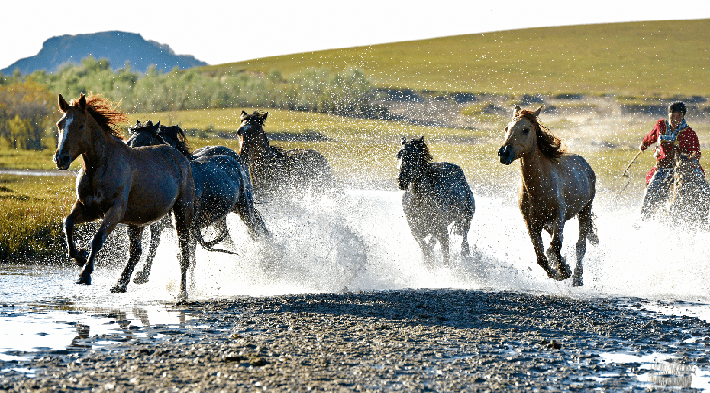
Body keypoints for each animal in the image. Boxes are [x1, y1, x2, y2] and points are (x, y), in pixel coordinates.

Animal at [52, 92, 197, 300]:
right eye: (60, 124)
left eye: (80, 125)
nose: (60, 159)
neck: (101, 167)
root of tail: (181, 158)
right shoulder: (88, 208)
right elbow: (68, 223)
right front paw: (79, 257)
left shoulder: (115, 211)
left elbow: (97, 239)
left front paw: (85, 274)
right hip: (137, 221)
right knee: (136, 252)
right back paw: (120, 284)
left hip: (181, 215)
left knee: (184, 253)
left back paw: (182, 292)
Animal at [126, 121, 272, 284]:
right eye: (128, 142)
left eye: (147, 143)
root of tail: (234, 158)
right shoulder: (159, 225)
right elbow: (154, 246)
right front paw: (142, 275)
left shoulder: (190, 226)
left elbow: (189, 256)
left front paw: (190, 285)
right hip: (220, 219)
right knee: (232, 238)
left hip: (244, 209)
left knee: (255, 230)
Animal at [398, 136, 476, 266]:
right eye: (399, 155)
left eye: (415, 156)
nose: (401, 180)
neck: (419, 201)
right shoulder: (415, 229)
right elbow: (425, 247)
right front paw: (428, 261)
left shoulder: (442, 229)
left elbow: (445, 254)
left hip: (466, 217)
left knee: (464, 237)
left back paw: (465, 252)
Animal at [500, 105, 600, 286]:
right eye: (506, 128)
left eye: (525, 129)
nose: (504, 153)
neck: (539, 187)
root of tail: (585, 164)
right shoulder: (531, 222)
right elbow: (540, 255)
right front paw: (557, 270)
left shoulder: (559, 215)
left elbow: (556, 244)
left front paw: (565, 271)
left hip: (585, 210)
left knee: (580, 245)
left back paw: (578, 277)